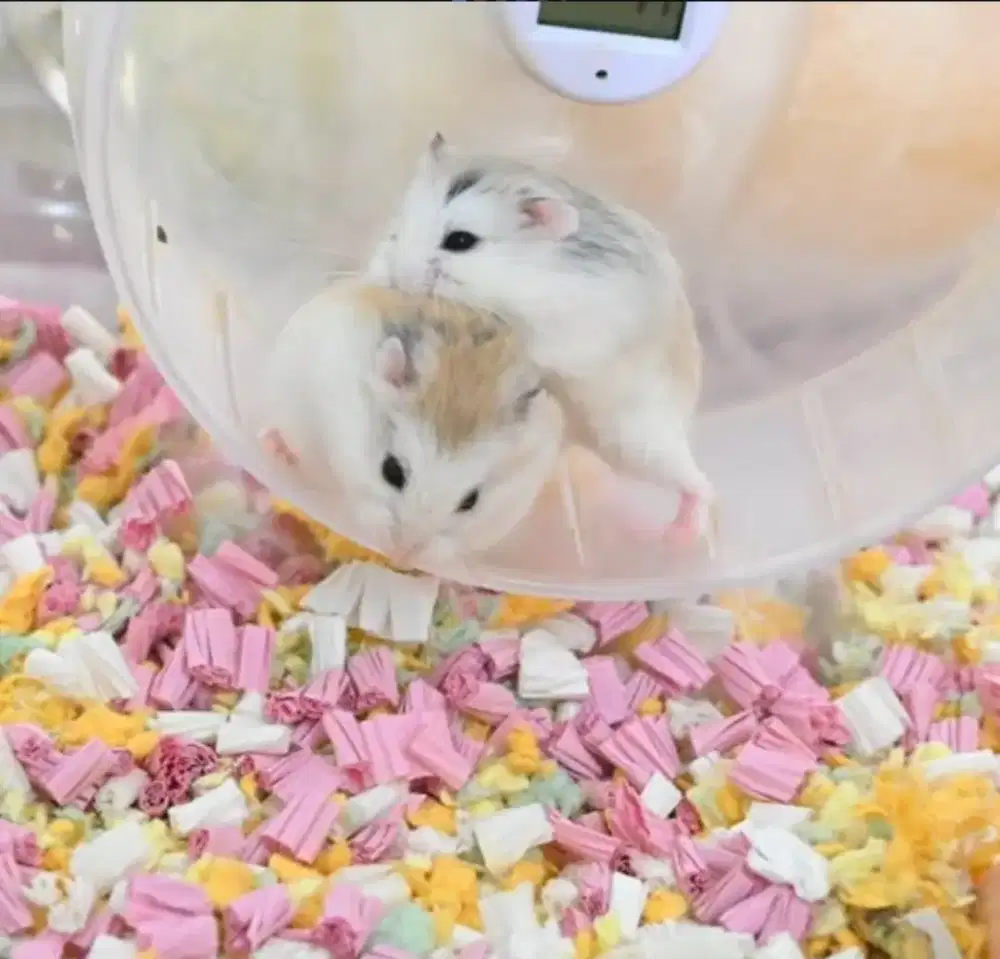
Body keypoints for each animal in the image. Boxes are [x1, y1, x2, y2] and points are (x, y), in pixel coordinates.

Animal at [367, 134, 713, 541]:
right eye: (397, 227)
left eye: (460, 240)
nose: (394, 281)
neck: (523, 274)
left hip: (642, 440)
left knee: (701, 484)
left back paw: (679, 533)